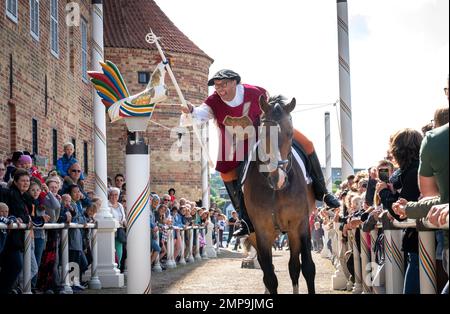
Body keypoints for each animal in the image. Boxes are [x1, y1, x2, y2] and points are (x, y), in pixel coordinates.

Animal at [243, 94, 316, 294]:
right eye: (262, 134)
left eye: (290, 134)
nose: (278, 177)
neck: (277, 191)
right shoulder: (262, 232)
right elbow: (270, 277)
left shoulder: (301, 225)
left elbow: (307, 268)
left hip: (292, 233)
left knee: (294, 267)